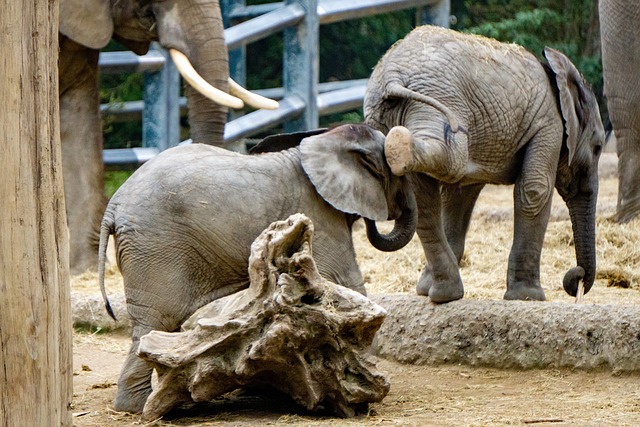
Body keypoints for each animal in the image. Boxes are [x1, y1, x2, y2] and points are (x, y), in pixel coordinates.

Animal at [95, 123, 416, 414]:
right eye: (399, 176)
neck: (327, 138)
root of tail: (113, 207)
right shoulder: (320, 216)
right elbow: (345, 284)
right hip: (155, 247)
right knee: (157, 321)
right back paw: (138, 408)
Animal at [364, 25, 604, 304]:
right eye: (598, 147)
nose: (576, 278)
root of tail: (391, 74)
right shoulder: (549, 124)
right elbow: (535, 189)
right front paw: (528, 297)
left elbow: (458, 198)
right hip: (438, 101)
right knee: (451, 160)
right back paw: (398, 147)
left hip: (394, 111)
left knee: (423, 198)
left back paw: (445, 294)